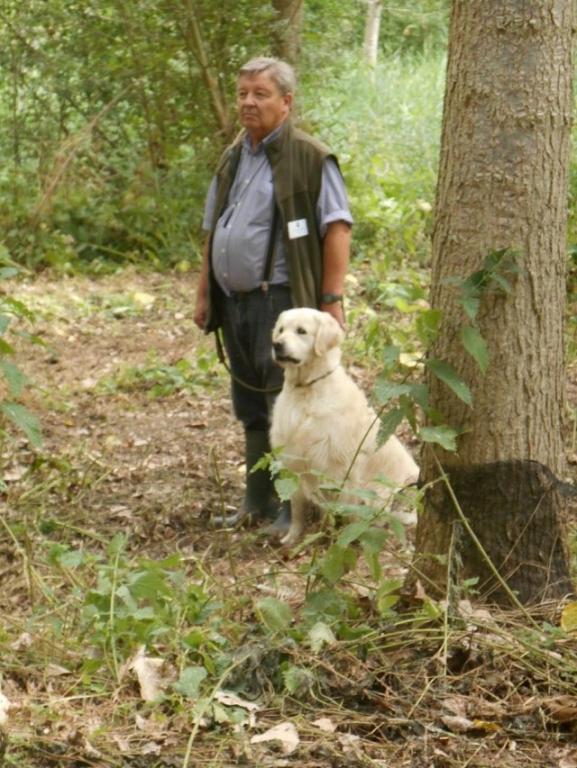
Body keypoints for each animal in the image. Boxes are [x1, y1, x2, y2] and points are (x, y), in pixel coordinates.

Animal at [270, 306, 418, 544]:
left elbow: (341, 506)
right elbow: (298, 508)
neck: (307, 389)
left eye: (301, 331)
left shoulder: (340, 465)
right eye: (281, 330)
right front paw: (292, 537)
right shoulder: (294, 461)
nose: (277, 344)